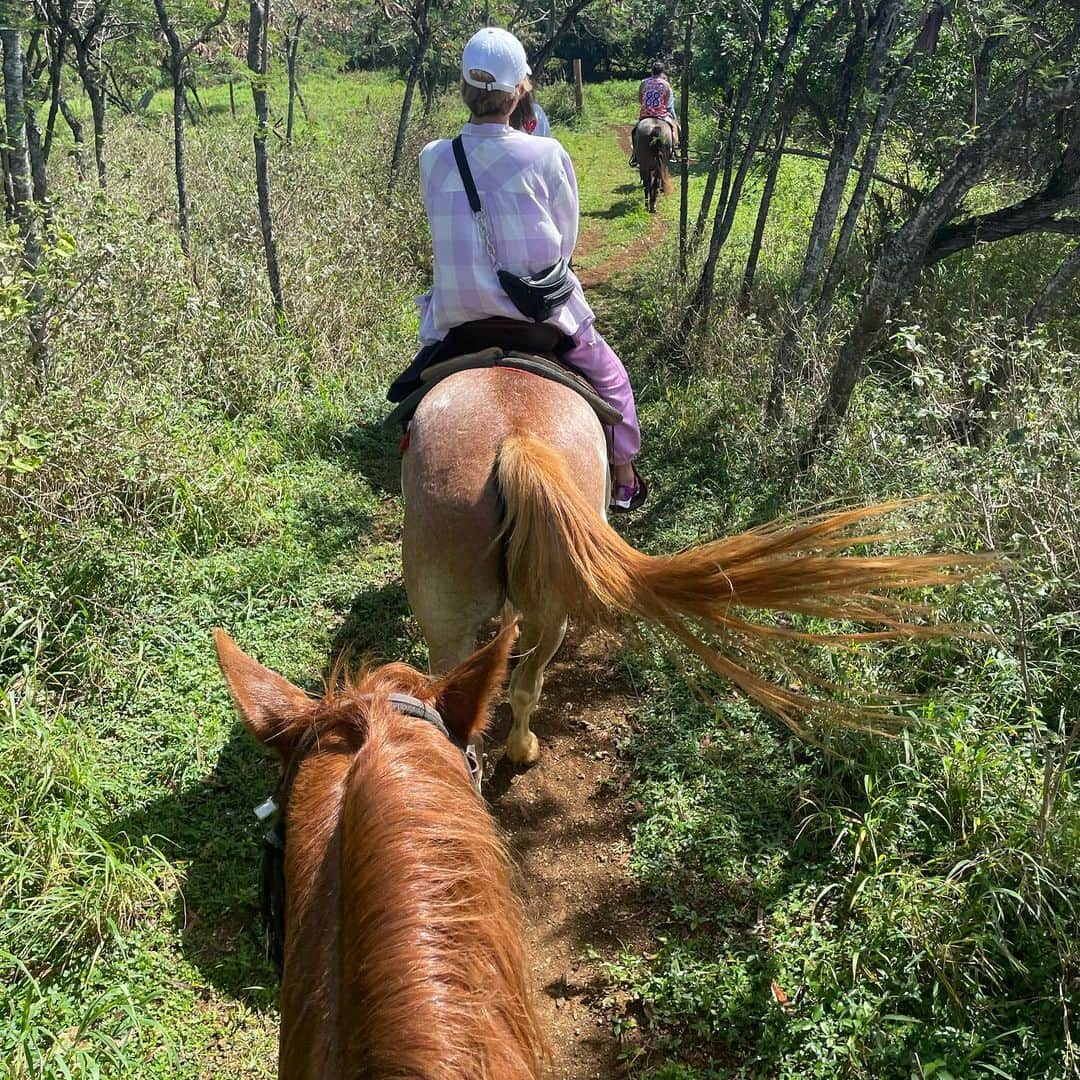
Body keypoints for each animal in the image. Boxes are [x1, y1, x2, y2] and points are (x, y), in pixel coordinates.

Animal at [401, 371, 984, 768]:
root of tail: (514, 435)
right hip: (478, 616)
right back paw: (517, 751)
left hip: (517, 612)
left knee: (514, 688)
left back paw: (516, 751)